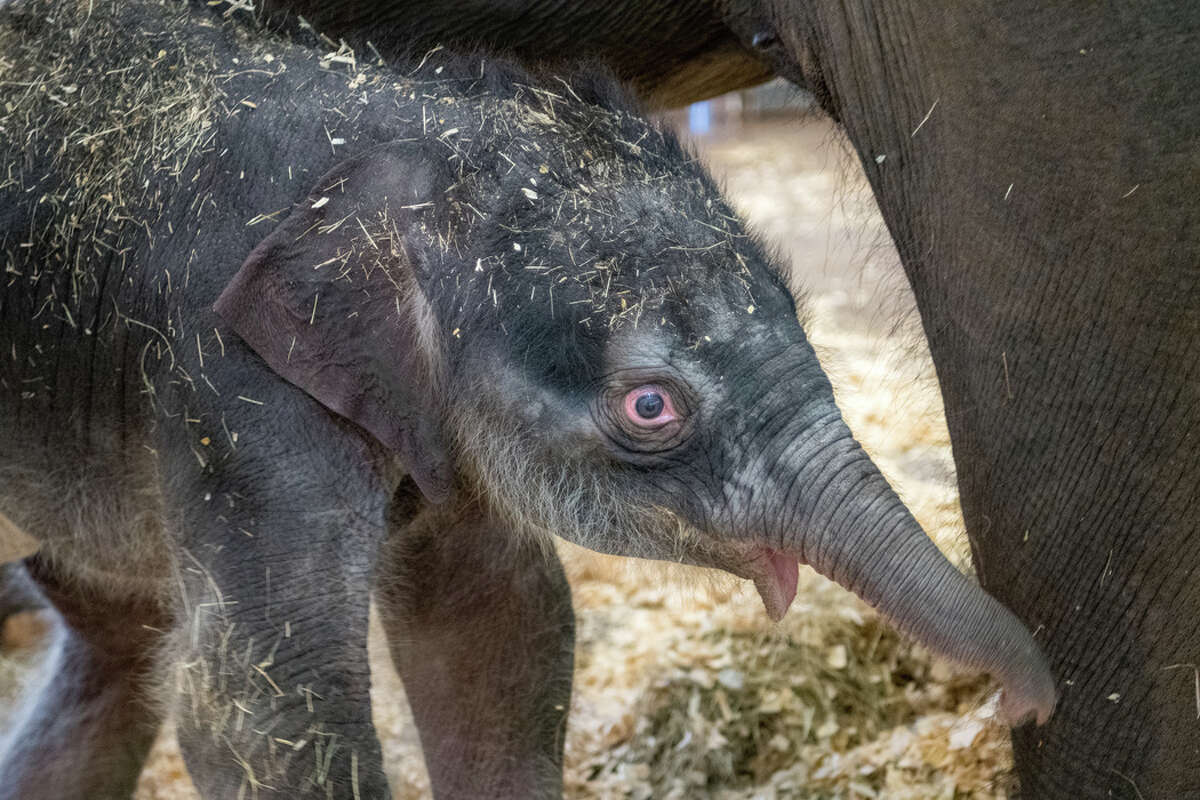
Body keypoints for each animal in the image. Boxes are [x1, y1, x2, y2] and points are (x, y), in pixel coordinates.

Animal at [0, 0, 1051, 796]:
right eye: (651, 408)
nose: (1021, 703)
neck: (390, 133)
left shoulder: (425, 417)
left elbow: (501, 626)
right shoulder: (233, 389)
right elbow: (260, 707)